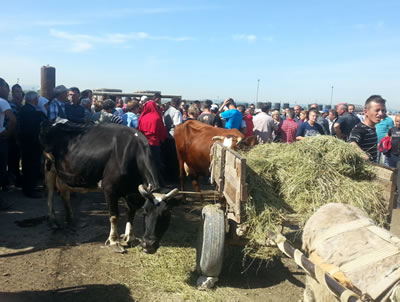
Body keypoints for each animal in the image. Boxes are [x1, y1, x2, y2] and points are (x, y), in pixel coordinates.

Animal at [40, 119, 178, 254]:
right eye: (145, 212)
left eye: (166, 213)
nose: (148, 245)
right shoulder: (109, 188)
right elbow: (114, 216)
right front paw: (114, 241)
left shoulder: (132, 193)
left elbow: (130, 212)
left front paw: (130, 237)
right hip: (49, 166)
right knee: (50, 193)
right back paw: (53, 221)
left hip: (65, 174)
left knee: (64, 194)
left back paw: (70, 219)